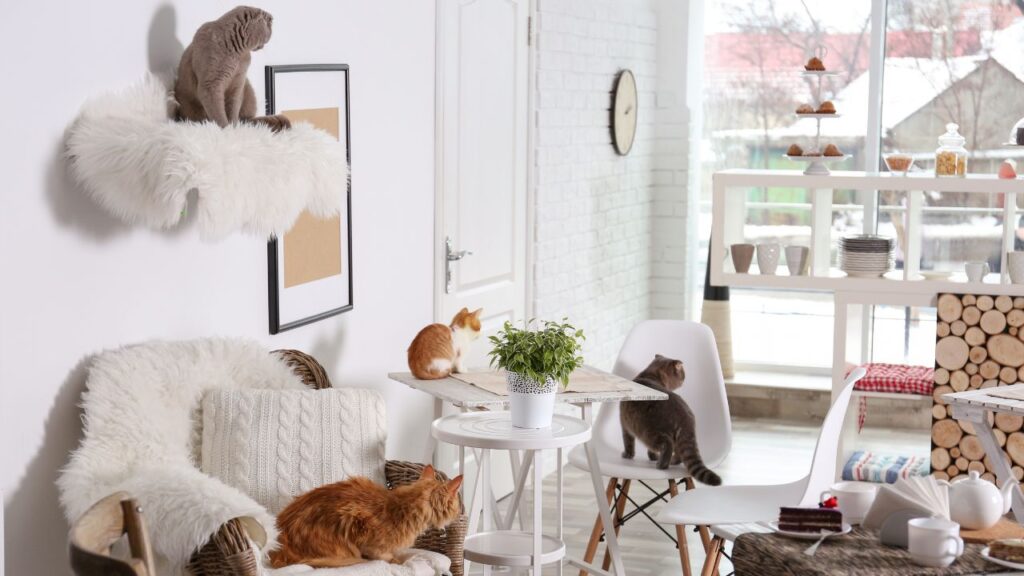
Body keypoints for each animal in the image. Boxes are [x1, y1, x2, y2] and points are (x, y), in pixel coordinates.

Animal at [272, 461, 464, 565]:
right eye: (456, 505)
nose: (459, 513)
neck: (404, 506)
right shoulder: (364, 531)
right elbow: (385, 555)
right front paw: (396, 560)